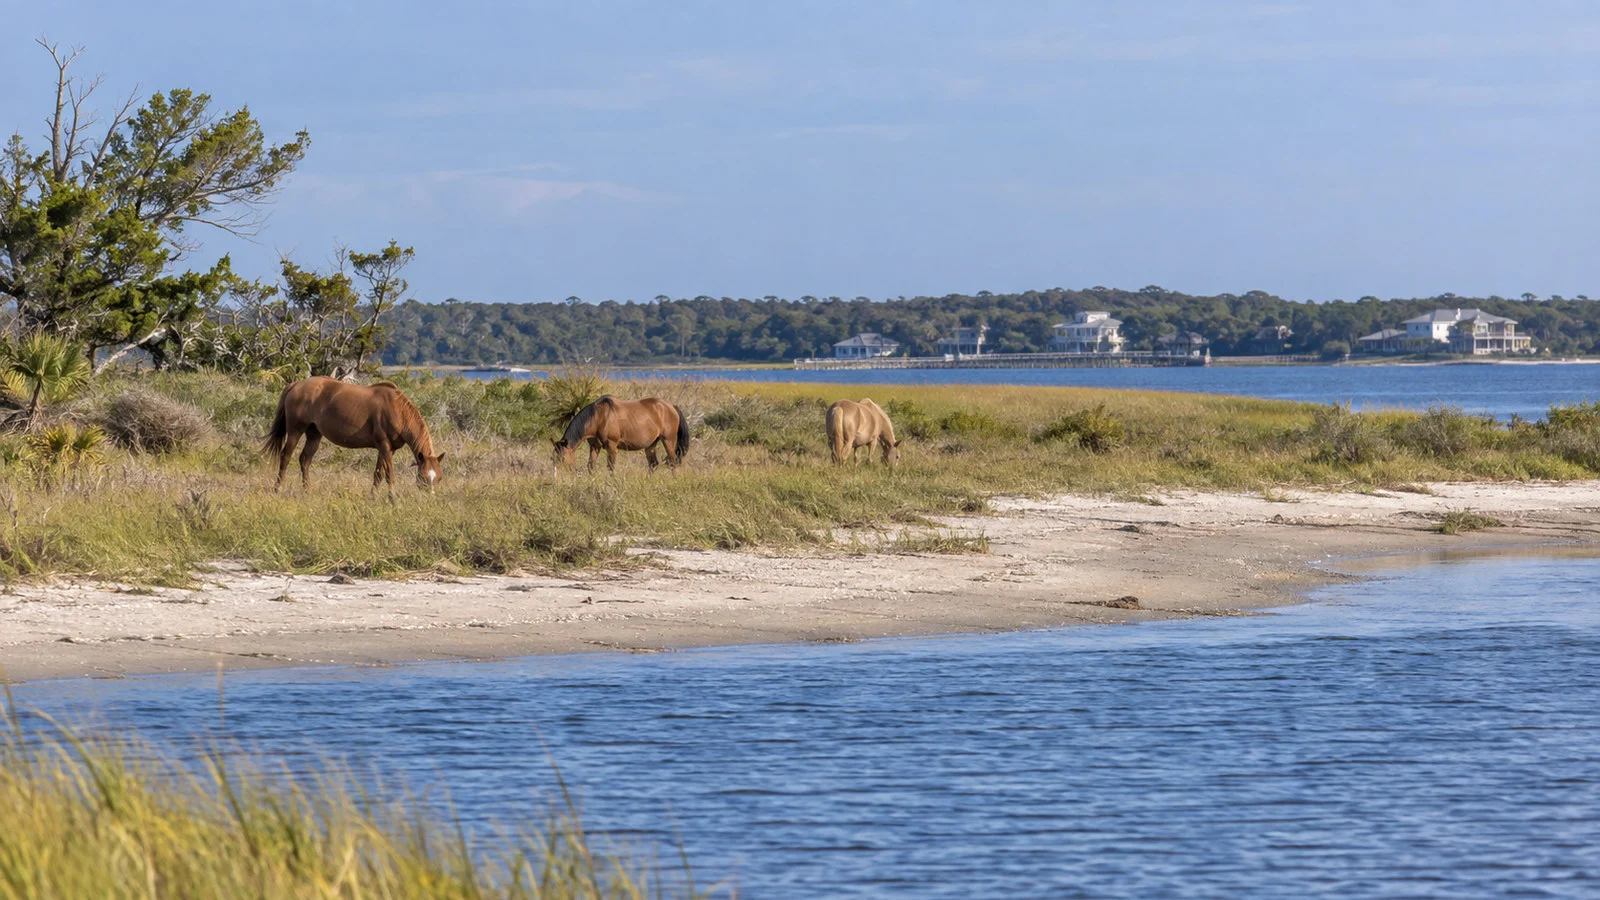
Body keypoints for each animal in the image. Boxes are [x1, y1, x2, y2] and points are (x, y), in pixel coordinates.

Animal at [264, 377, 444, 493]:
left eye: (439, 478)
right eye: (423, 477)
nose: (430, 498)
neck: (397, 410)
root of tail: (296, 385)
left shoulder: (387, 449)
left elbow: (378, 474)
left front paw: (373, 497)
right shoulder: (385, 446)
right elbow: (389, 476)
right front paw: (393, 500)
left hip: (314, 434)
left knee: (305, 460)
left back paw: (307, 491)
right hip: (295, 431)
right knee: (286, 456)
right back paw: (278, 489)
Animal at [552, 396, 690, 472]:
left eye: (562, 458)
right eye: (553, 458)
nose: (557, 477)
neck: (599, 417)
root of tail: (672, 407)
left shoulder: (611, 446)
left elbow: (611, 467)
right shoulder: (595, 446)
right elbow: (591, 466)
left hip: (668, 440)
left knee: (673, 463)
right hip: (651, 444)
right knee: (653, 464)